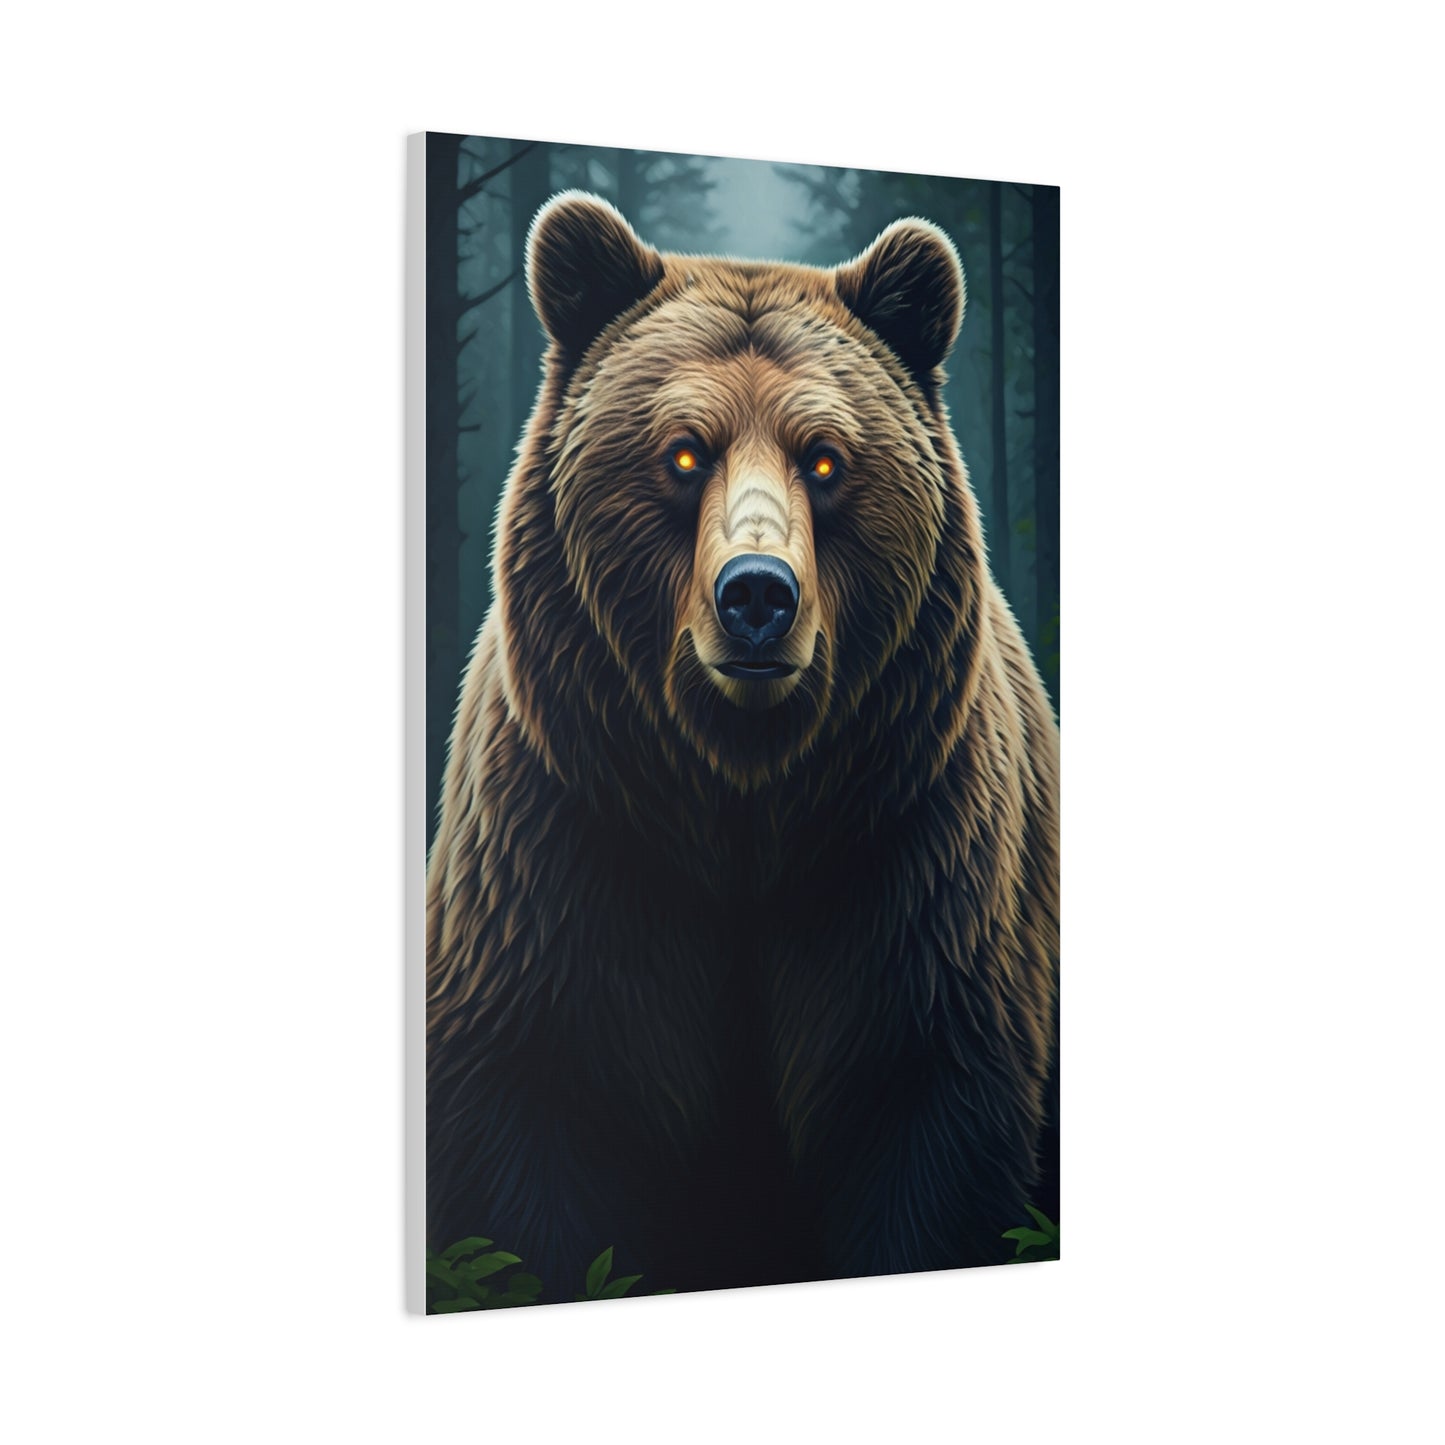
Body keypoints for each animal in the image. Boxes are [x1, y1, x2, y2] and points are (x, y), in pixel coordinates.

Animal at [426, 191, 1060, 1297]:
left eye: (824, 457)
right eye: (684, 451)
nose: (757, 594)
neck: (743, 800)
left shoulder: (915, 878)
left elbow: (929, 1134)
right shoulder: (560, 861)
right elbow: (531, 1143)